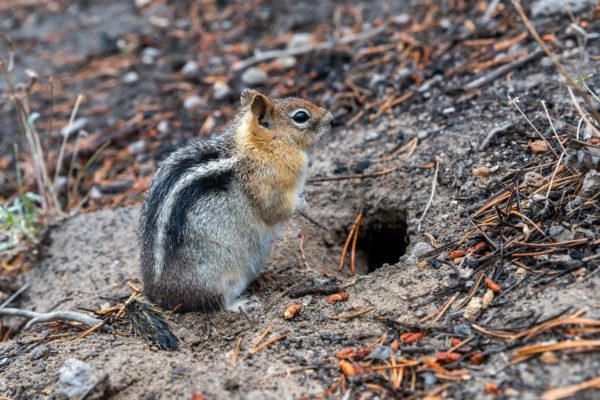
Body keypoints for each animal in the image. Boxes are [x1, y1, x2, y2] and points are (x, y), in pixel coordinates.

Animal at [139, 90, 332, 312]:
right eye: (301, 116)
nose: (331, 119)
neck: (261, 147)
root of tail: (159, 297)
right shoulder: (267, 186)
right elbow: (274, 210)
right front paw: (302, 204)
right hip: (219, 277)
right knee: (218, 302)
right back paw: (242, 304)